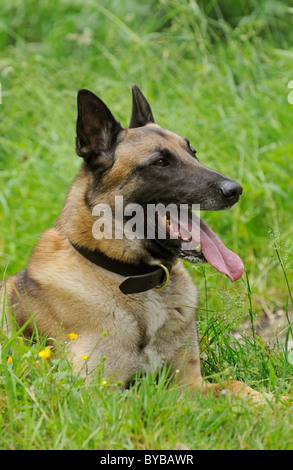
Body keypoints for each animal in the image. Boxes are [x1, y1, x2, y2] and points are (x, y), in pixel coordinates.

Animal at [1, 84, 262, 400]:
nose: (235, 190)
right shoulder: (97, 395)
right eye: (160, 162)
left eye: (193, 153)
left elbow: (237, 385)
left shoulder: (190, 383)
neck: (133, 277)